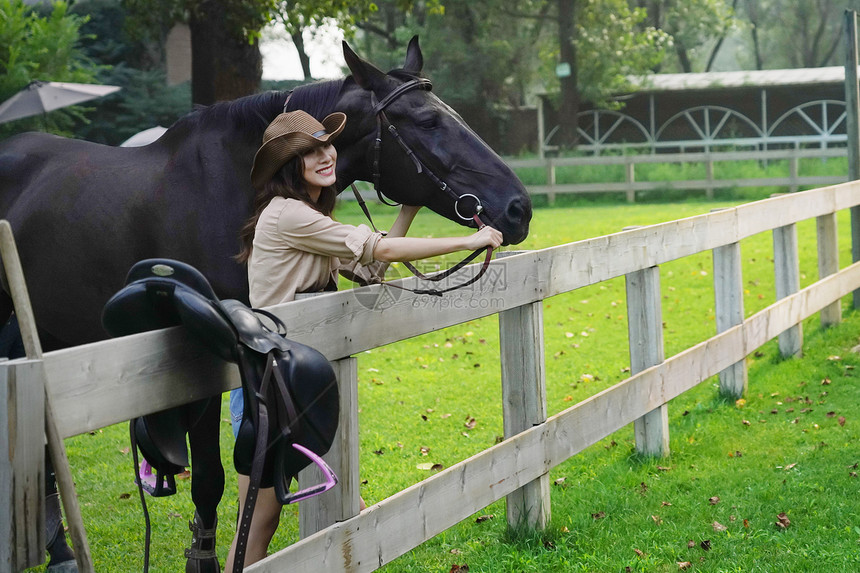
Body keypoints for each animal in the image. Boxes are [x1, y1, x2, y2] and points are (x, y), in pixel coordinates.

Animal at [0, 38, 532, 568]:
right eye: (427, 121)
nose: (518, 208)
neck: (231, 191)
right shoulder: (202, 366)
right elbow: (211, 480)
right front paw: (205, 559)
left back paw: (58, 548)